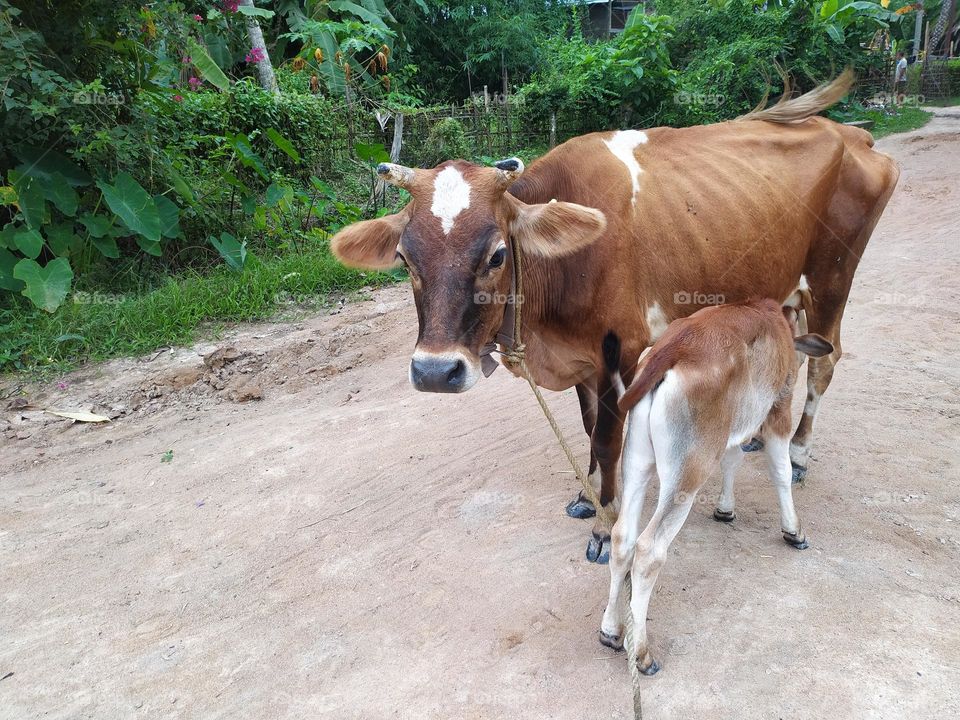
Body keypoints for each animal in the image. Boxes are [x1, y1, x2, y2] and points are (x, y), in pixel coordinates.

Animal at [330, 70, 899, 563]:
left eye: (497, 255)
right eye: (404, 259)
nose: (434, 372)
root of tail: (852, 134)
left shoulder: (619, 352)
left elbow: (608, 438)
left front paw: (607, 525)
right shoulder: (582, 358)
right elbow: (587, 429)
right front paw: (589, 498)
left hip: (832, 280)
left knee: (825, 361)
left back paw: (799, 453)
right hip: (784, 293)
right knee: (795, 354)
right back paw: (760, 433)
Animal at [597, 298, 834, 675]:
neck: (779, 323)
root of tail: (670, 350)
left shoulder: (736, 425)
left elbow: (732, 460)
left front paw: (725, 509)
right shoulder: (778, 409)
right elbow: (781, 471)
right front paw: (793, 530)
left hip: (636, 460)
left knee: (623, 538)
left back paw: (611, 630)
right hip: (687, 472)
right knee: (649, 549)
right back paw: (642, 654)